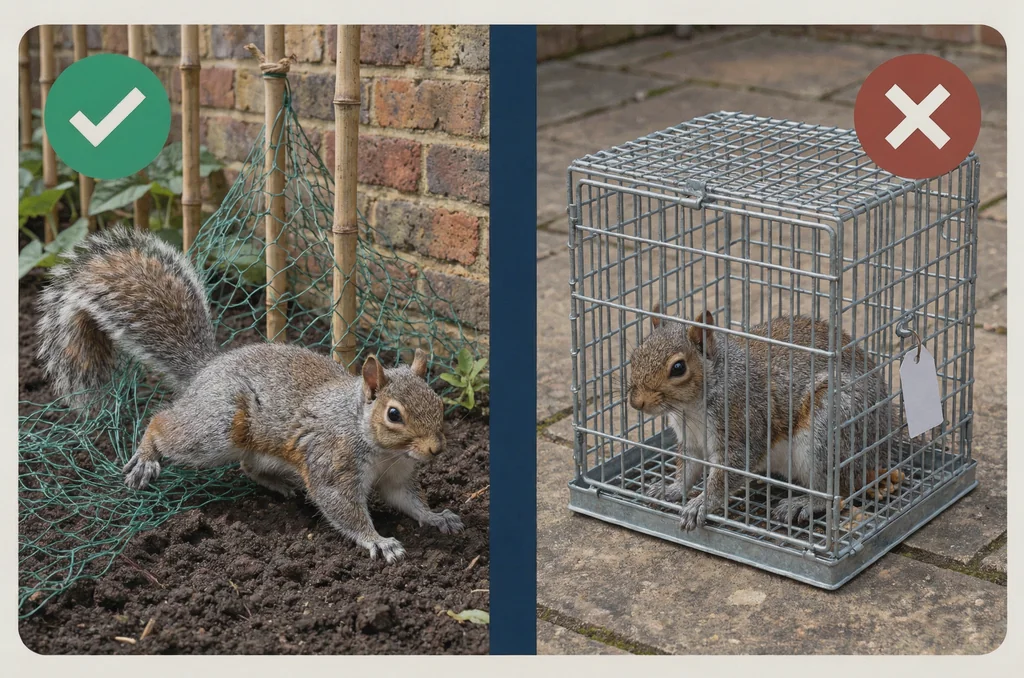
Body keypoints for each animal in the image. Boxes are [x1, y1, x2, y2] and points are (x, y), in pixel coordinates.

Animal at [36, 225, 463, 564]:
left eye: (439, 402)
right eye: (394, 414)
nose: (436, 449)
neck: (379, 447)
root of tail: (206, 371)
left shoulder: (396, 476)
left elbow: (407, 499)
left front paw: (436, 516)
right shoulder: (332, 462)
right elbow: (343, 508)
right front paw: (379, 541)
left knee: (248, 466)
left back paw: (281, 485)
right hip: (215, 429)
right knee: (162, 423)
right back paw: (146, 457)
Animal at [627, 304, 891, 532]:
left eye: (679, 368)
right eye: (635, 354)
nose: (636, 402)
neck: (690, 409)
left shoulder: (742, 425)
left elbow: (726, 474)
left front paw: (701, 503)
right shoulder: (690, 440)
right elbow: (688, 469)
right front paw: (670, 489)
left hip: (827, 430)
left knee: (838, 489)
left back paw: (803, 503)